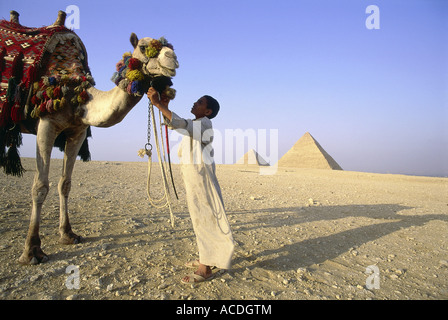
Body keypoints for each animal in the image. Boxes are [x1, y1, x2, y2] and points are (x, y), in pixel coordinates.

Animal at [0, 10, 178, 264]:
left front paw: (68, 234)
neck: (76, 95)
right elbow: (40, 186)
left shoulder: (77, 131)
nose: (172, 59)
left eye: (170, 47)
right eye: (144, 47)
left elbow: (65, 184)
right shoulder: (46, 124)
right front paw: (32, 250)